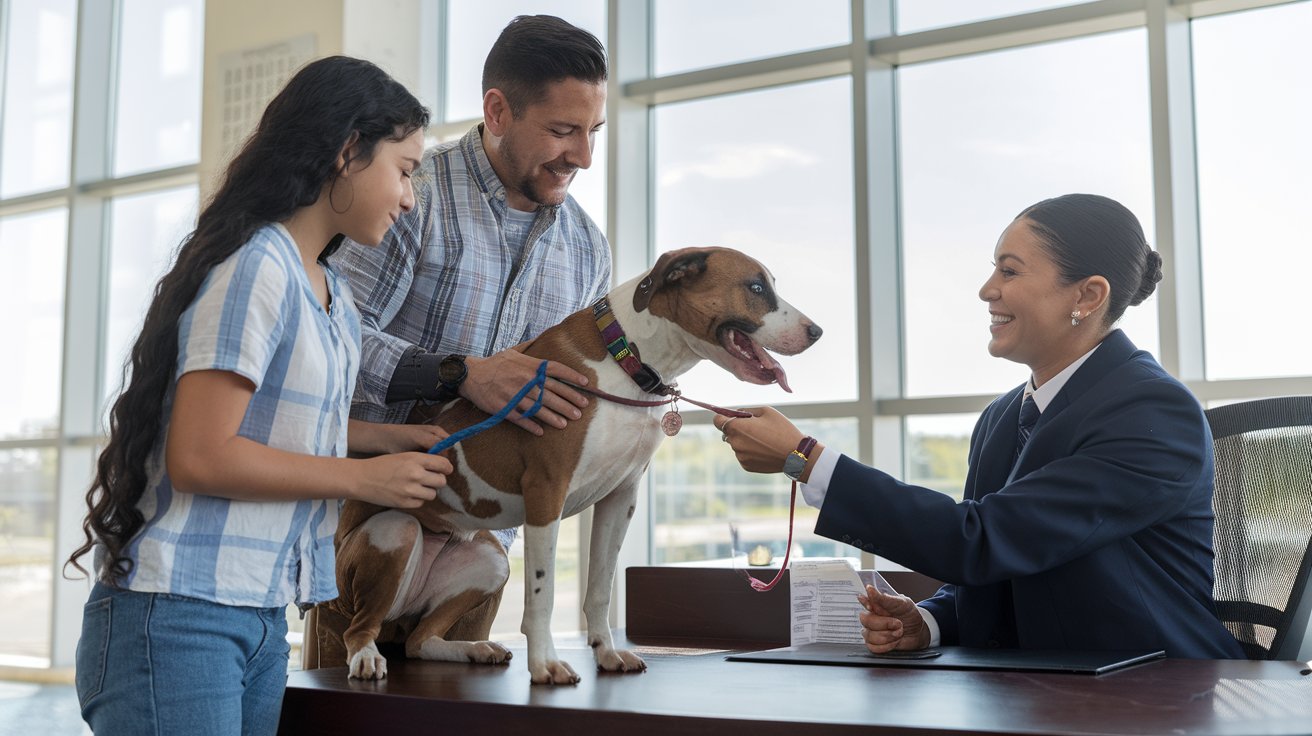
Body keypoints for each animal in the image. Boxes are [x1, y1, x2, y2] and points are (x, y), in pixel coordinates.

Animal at [314, 246, 818, 682]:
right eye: (755, 287)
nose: (817, 332)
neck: (628, 360)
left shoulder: (620, 498)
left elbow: (600, 589)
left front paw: (607, 652)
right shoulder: (546, 492)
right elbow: (543, 593)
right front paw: (545, 665)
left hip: (490, 562)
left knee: (420, 640)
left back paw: (471, 648)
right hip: (392, 536)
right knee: (364, 627)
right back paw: (366, 658)